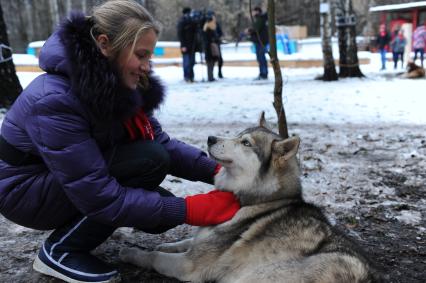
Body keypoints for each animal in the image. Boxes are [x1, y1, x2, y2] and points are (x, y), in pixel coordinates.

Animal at [120, 113, 382, 283]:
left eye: (245, 143)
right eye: (238, 135)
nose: (211, 139)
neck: (258, 200)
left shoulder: (189, 266)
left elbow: (154, 257)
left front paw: (132, 253)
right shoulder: (200, 244)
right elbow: (186, 241)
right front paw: (168, 244)